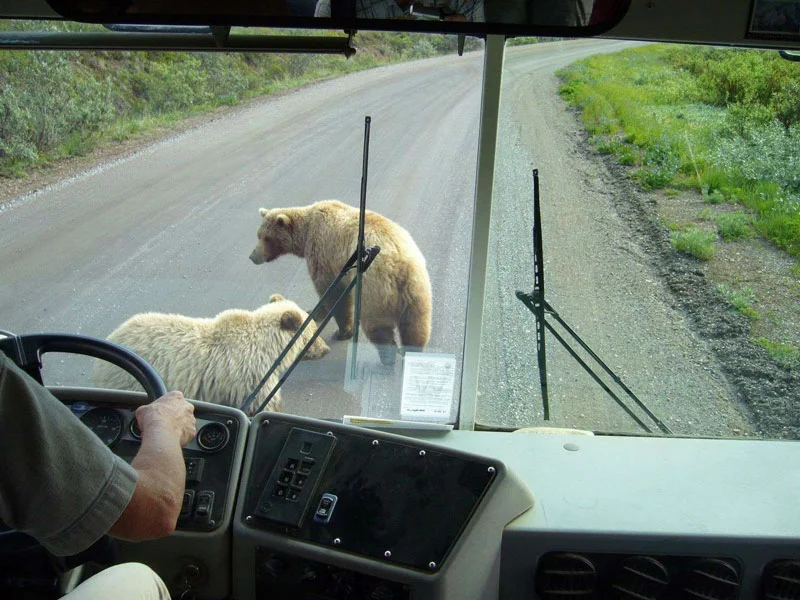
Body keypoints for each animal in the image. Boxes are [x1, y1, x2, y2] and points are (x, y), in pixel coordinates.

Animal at [92, 294, 330, 414]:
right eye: (313, 332)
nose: (325, 349)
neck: (269, 350)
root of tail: (114, 335)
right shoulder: (248, 377)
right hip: (128, 380)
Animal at [248, 200, 432, 366]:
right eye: (258, 235)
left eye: (266, 238)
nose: (253, 256)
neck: (306, 233)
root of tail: (400, 263)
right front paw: (313, 312)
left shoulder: (324, 254)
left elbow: (333, 292)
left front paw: (342, 331)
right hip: (417, 289)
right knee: (416, 325)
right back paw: (412, 351)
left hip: (375, 287)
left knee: (377, 324)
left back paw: (387, 358)